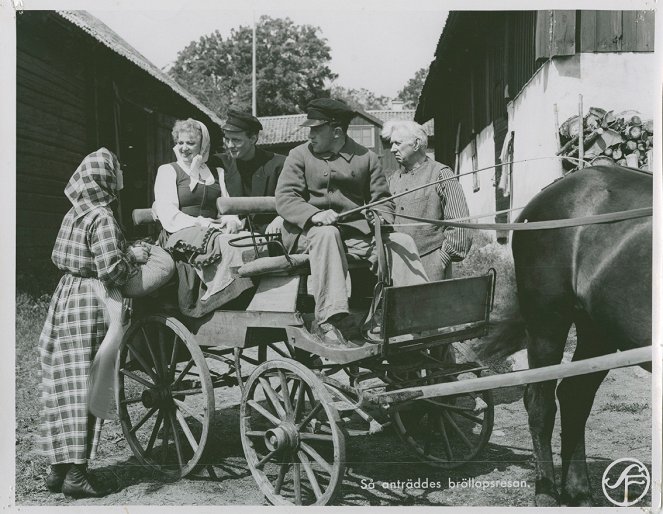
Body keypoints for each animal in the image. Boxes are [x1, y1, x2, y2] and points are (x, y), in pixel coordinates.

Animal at [498, 165, 652, 504]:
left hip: (599, 331)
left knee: (574, 397)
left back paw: (579, 492)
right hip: (547, 322)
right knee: (541, 404)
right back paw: (545, 491)